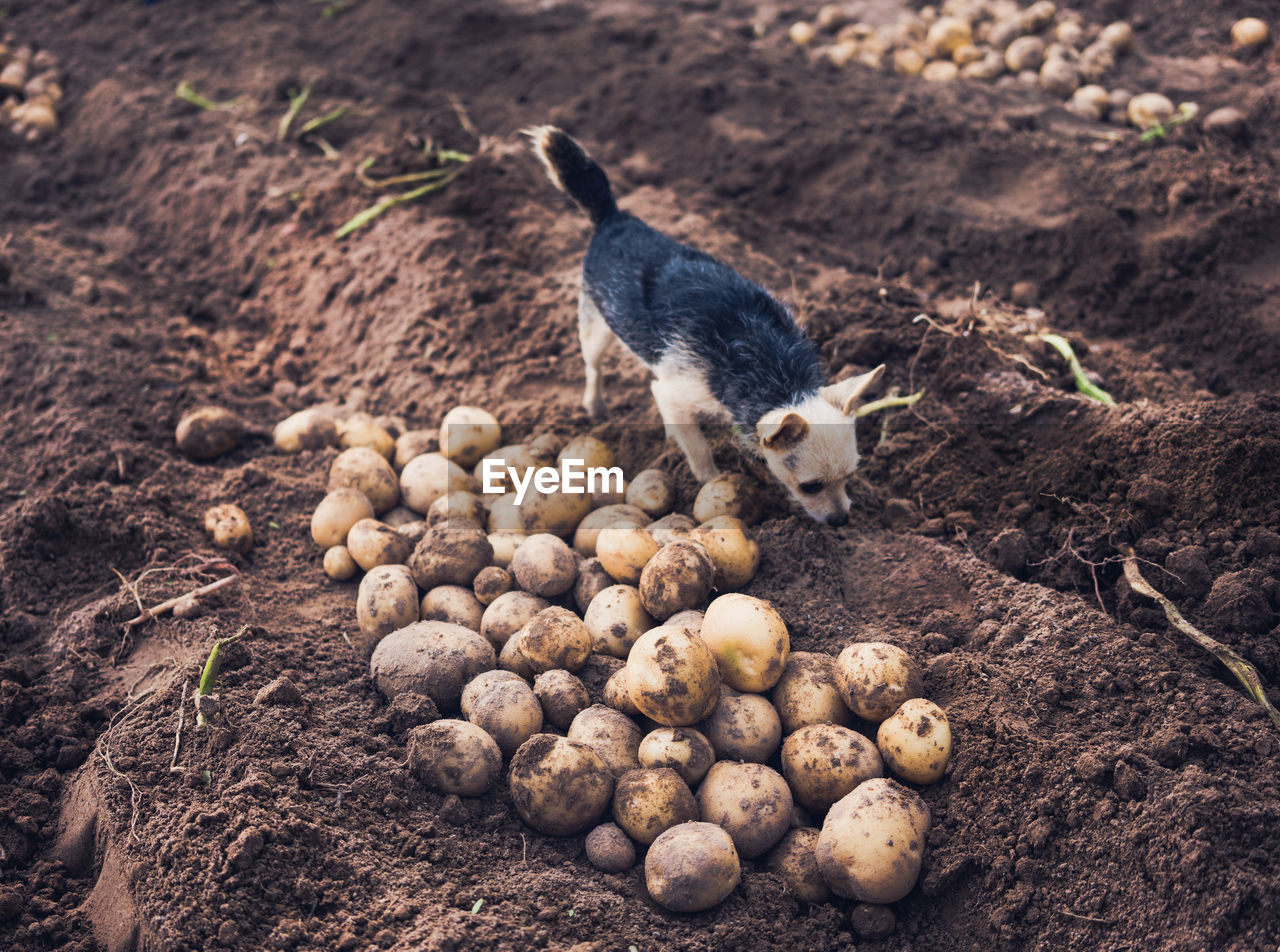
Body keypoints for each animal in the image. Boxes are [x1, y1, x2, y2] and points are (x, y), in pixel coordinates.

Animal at [527, 125, 880, 527]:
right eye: (810, 486)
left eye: (851, 476)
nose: (842, 521)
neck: (775, 374)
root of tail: (612, 218)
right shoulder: (682, 387)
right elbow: (697, 448)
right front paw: (709, 478)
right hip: (595, 322)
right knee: (594, 366)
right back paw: (596, 406)